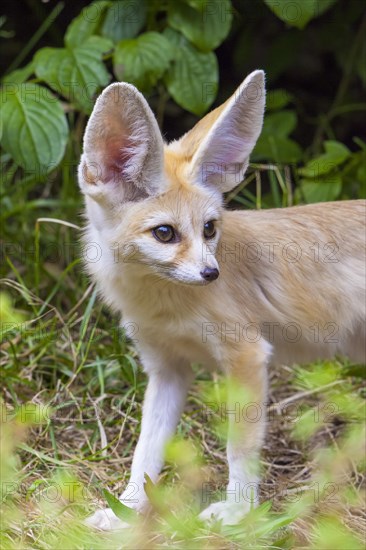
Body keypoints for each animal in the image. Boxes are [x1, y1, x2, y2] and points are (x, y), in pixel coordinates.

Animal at [78, 71, 366, 532]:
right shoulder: (167, 368)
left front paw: (238, 511)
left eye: (209, 228)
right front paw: (128, 510)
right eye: (165, 233)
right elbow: (146, 450)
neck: (166, 307)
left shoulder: (247, 355)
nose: (211, 274)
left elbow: (239, 448)